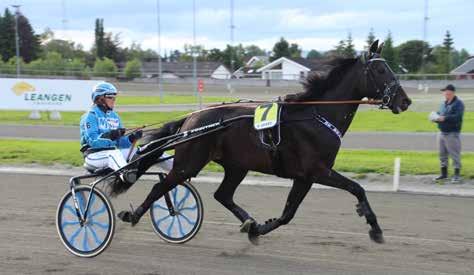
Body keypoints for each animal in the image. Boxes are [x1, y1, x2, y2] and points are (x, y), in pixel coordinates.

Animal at [115, 40, 412, 245]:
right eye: (381, 70)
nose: (405, 101)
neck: (317, 115)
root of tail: (192, 118)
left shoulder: (304, 177)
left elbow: (288, 213)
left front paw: (259, 228)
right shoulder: (318, 171)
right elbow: (357, 188)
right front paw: (375, 228)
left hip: (236, 166)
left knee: (222, 195)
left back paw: (249, 222)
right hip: (189, 163)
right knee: (160, 186)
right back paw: (134, 215)